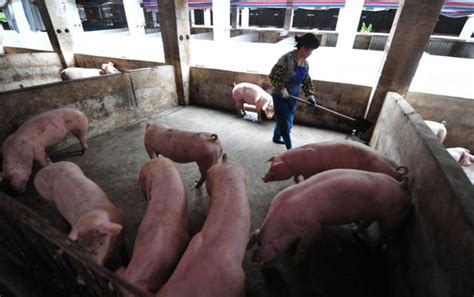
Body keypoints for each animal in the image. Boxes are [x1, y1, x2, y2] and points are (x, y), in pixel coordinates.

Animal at [248, 169, 412, 266]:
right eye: (257, 243)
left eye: (263, 245)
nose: (253, 259)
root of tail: (400, 185)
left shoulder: (313, 227)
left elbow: (304, 245)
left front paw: (295, 262)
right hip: (373, 213)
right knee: (367, 222)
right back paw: (353, 231)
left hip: (392, 218)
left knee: (390, 233)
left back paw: (382, 249)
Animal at [262, 139, 410, 183]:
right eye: (270, 166)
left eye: (274, 169)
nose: (263, 178)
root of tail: (396, 171)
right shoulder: (299, 170)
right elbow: (296, 176)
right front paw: (297, 181)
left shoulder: (309, 170)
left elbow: (306, 177)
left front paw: (301, 182)